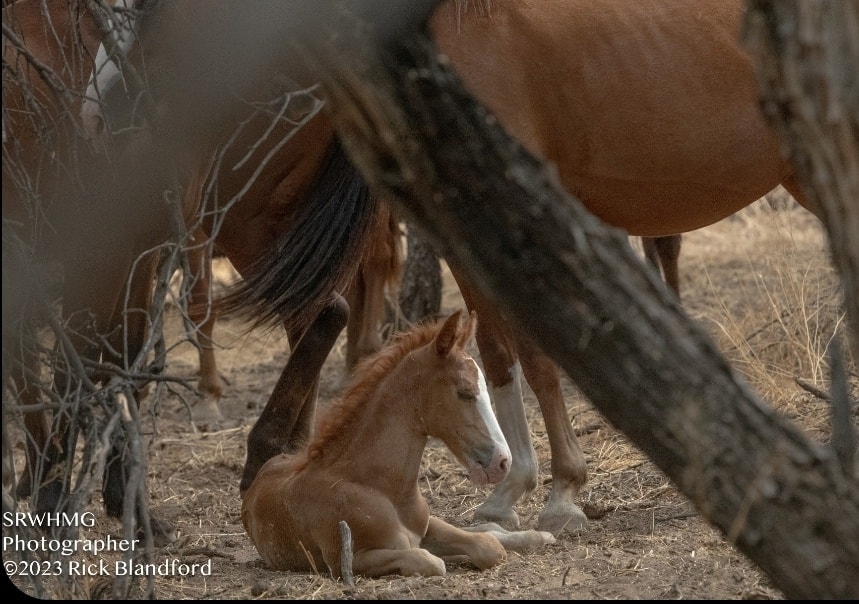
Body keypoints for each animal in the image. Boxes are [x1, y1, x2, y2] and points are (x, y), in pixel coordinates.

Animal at [242, 309, 554, 578]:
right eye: (465, 393)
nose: (502, 461)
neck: (380, 487)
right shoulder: (345, 560)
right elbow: (431, 561)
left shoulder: (426, 528)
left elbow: (488, 547)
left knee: (487, 532)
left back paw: (539, 534)